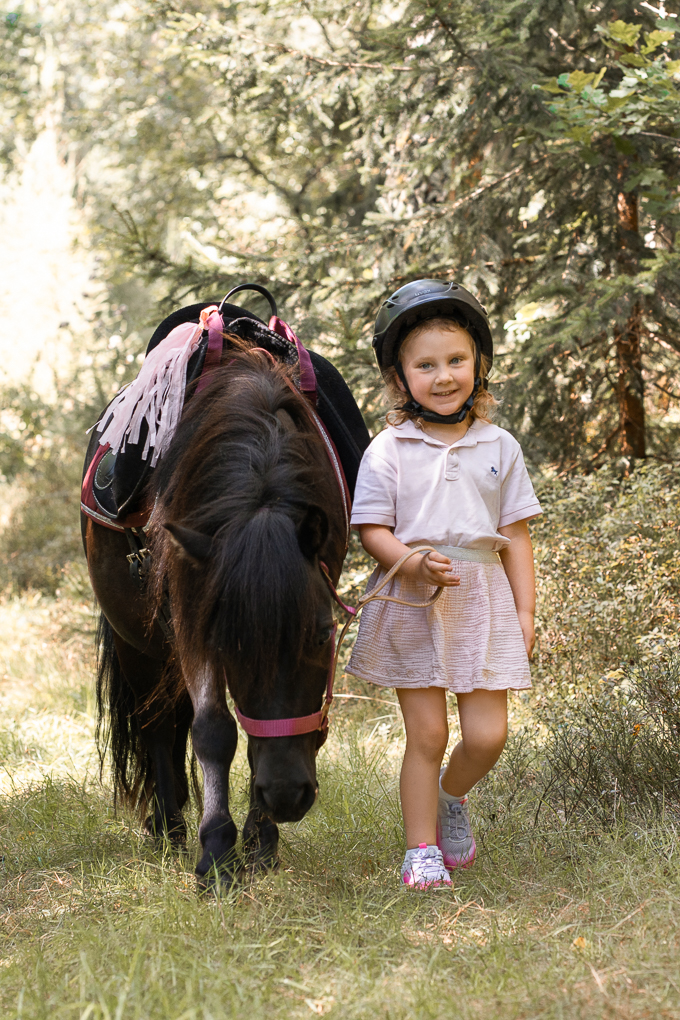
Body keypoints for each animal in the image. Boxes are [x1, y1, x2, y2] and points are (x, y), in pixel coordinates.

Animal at [81, 341, 350, 889]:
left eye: (322, 635)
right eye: (229, 644)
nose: (288, 795)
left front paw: (260, 844)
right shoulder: (192, 617)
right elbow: (212, 731)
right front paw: (217, 855)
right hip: (137, 645)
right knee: (158, 721)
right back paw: (169, 828)